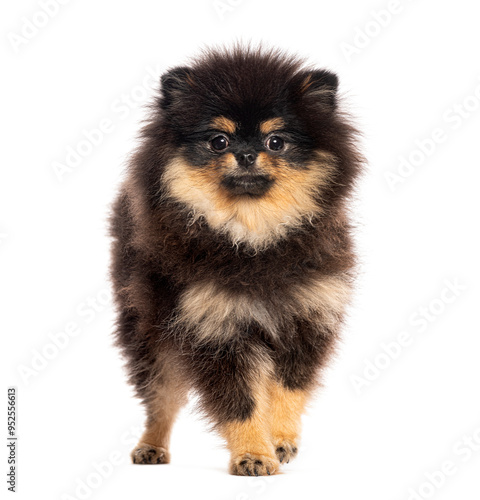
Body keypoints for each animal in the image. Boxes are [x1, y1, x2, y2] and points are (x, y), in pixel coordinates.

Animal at [110, 45, 362, 474]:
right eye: (218, 140)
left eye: (276, 141)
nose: (245, 153)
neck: (253, 236)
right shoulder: (214, 328)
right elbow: (239, 402)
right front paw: (253, 454)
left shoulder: (307, 318)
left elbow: (285, 390)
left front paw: (278, 439)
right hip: (148, 327)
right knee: (161, 397)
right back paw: (151, 446)